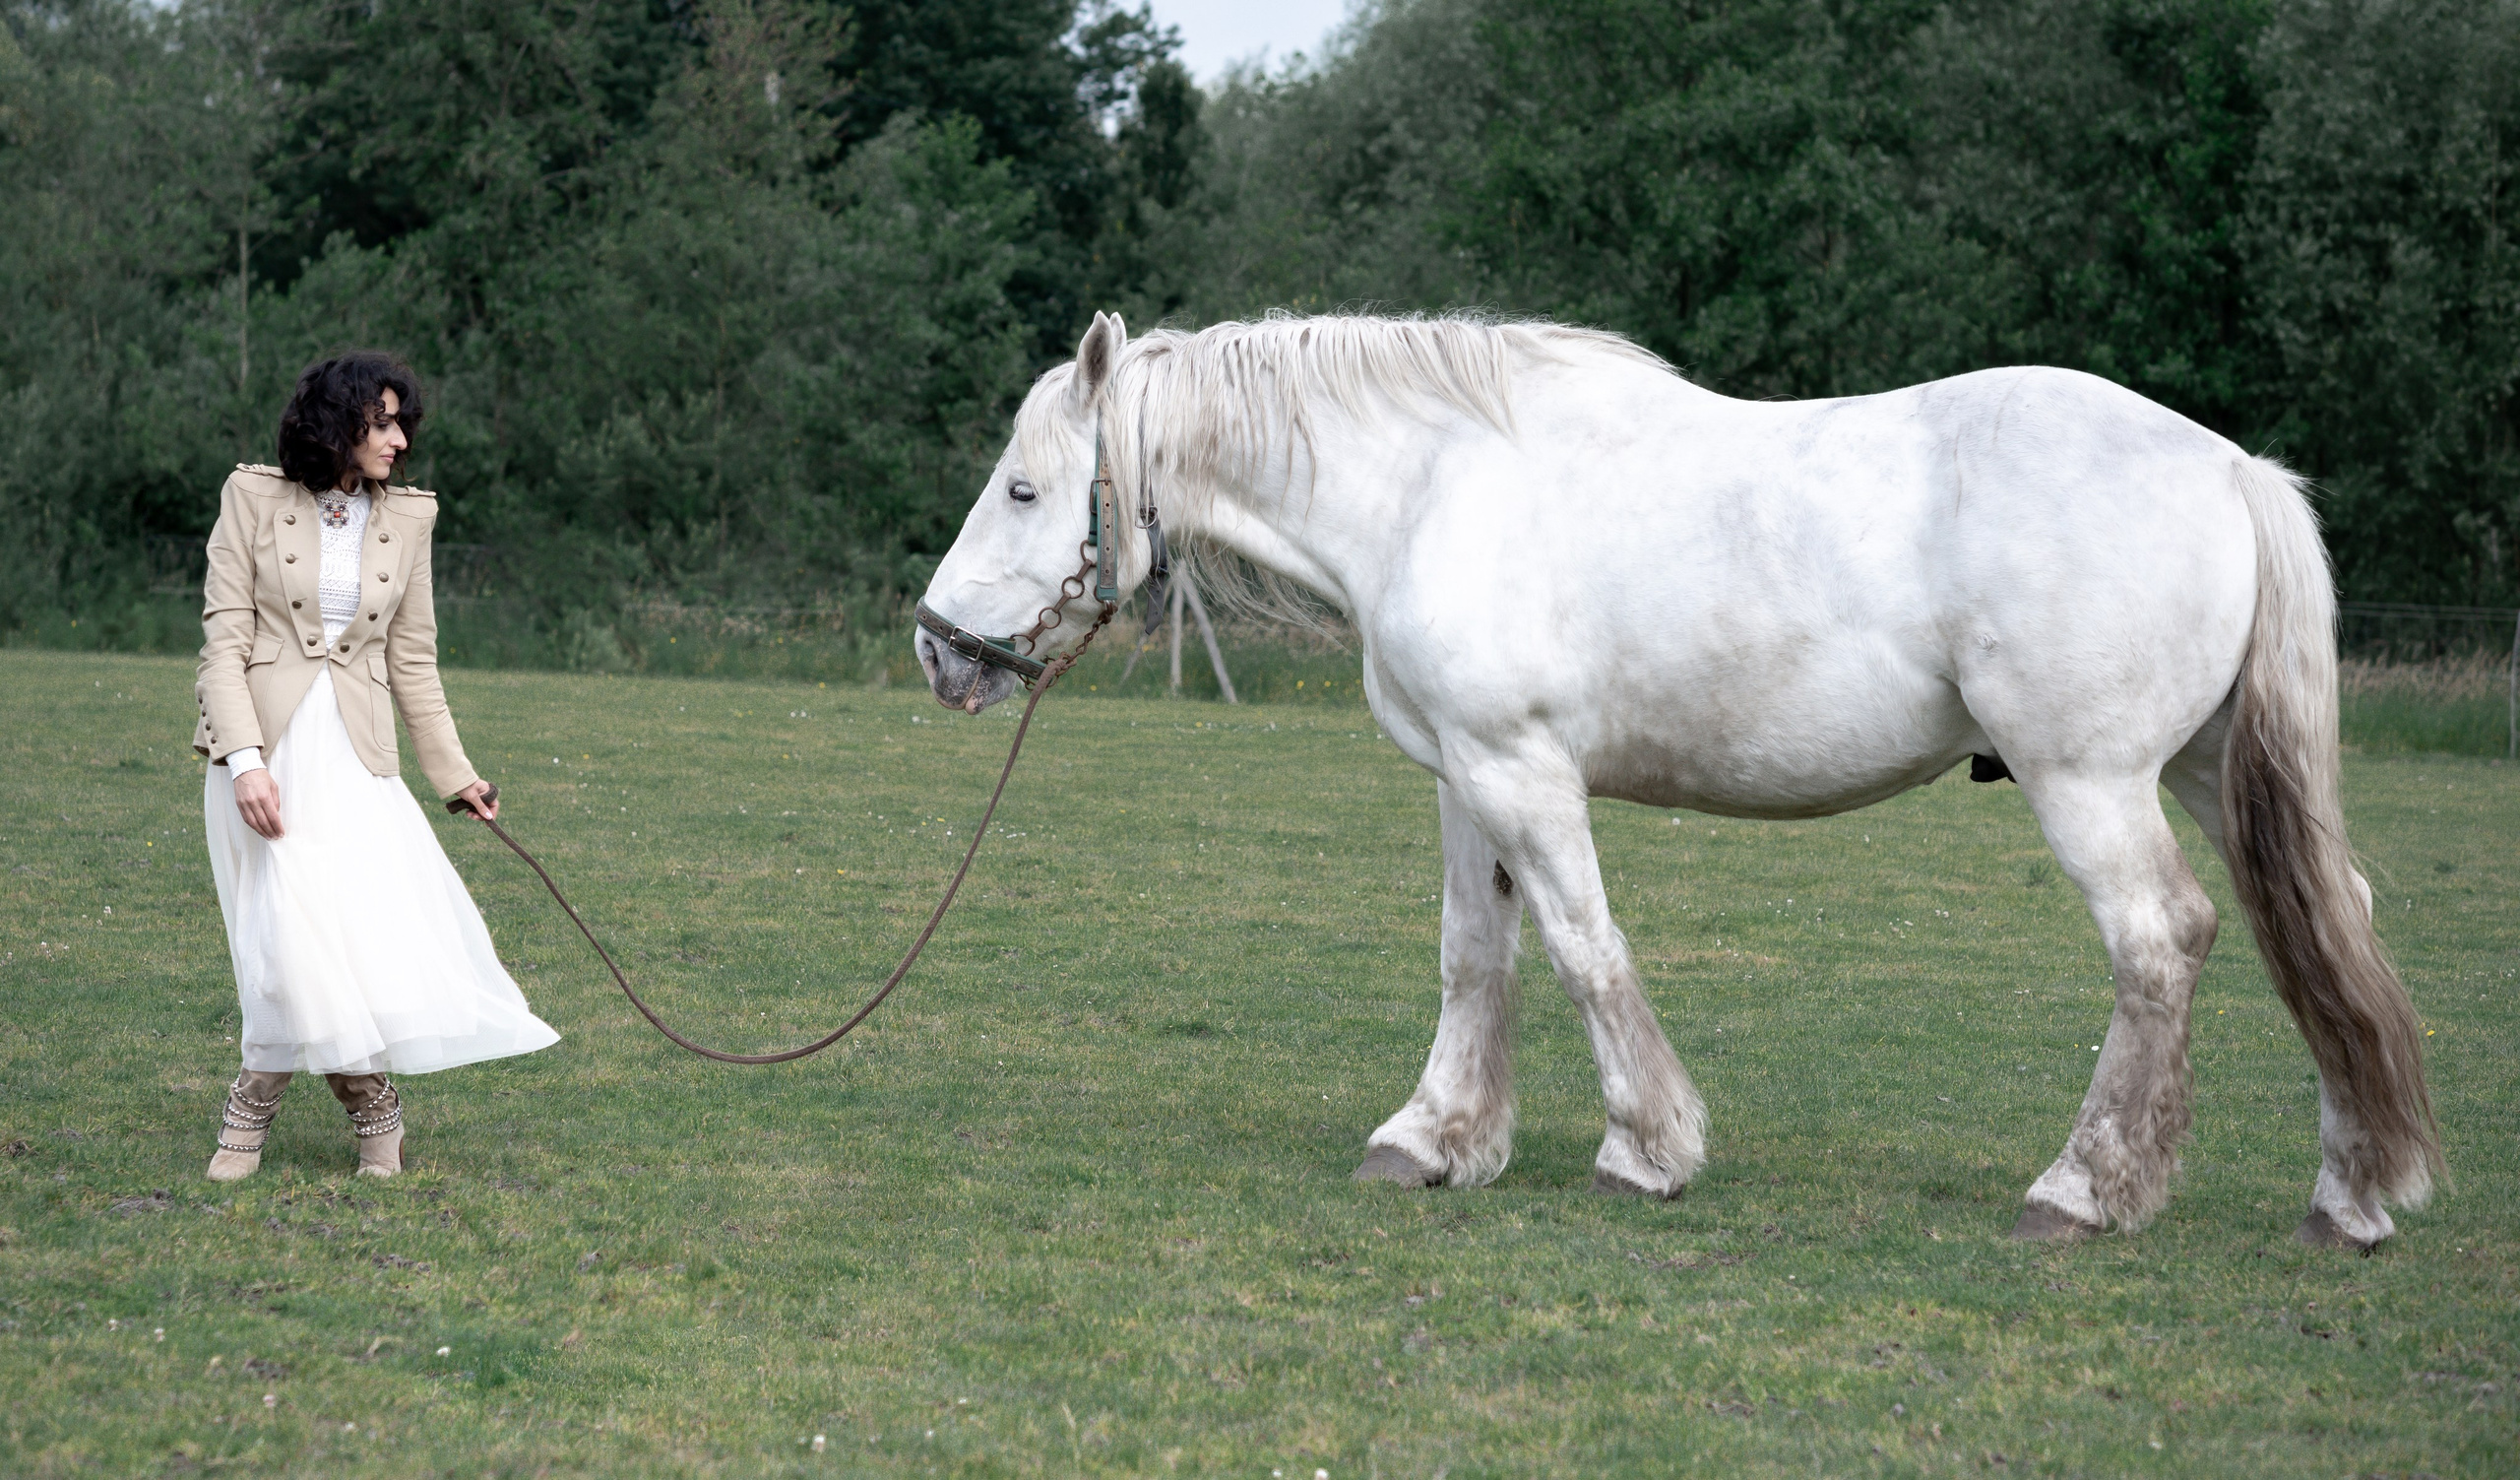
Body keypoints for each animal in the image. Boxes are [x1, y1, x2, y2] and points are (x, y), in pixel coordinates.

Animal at [913, 311, 2441, 1249]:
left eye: (1025, 489)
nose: (938, 648)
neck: (1430, 487)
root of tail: (2230, 466)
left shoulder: (1523, 768)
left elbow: (1586, 948)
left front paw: (1647, 1146)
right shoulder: (1465, 779)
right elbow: (1477, 957)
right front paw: (1437, 1139)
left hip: (2091, 781)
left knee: (2159, 943)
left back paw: (2085, 1188)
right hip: (2207, 768)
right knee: (2330, 926)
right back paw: (2352, 1193)